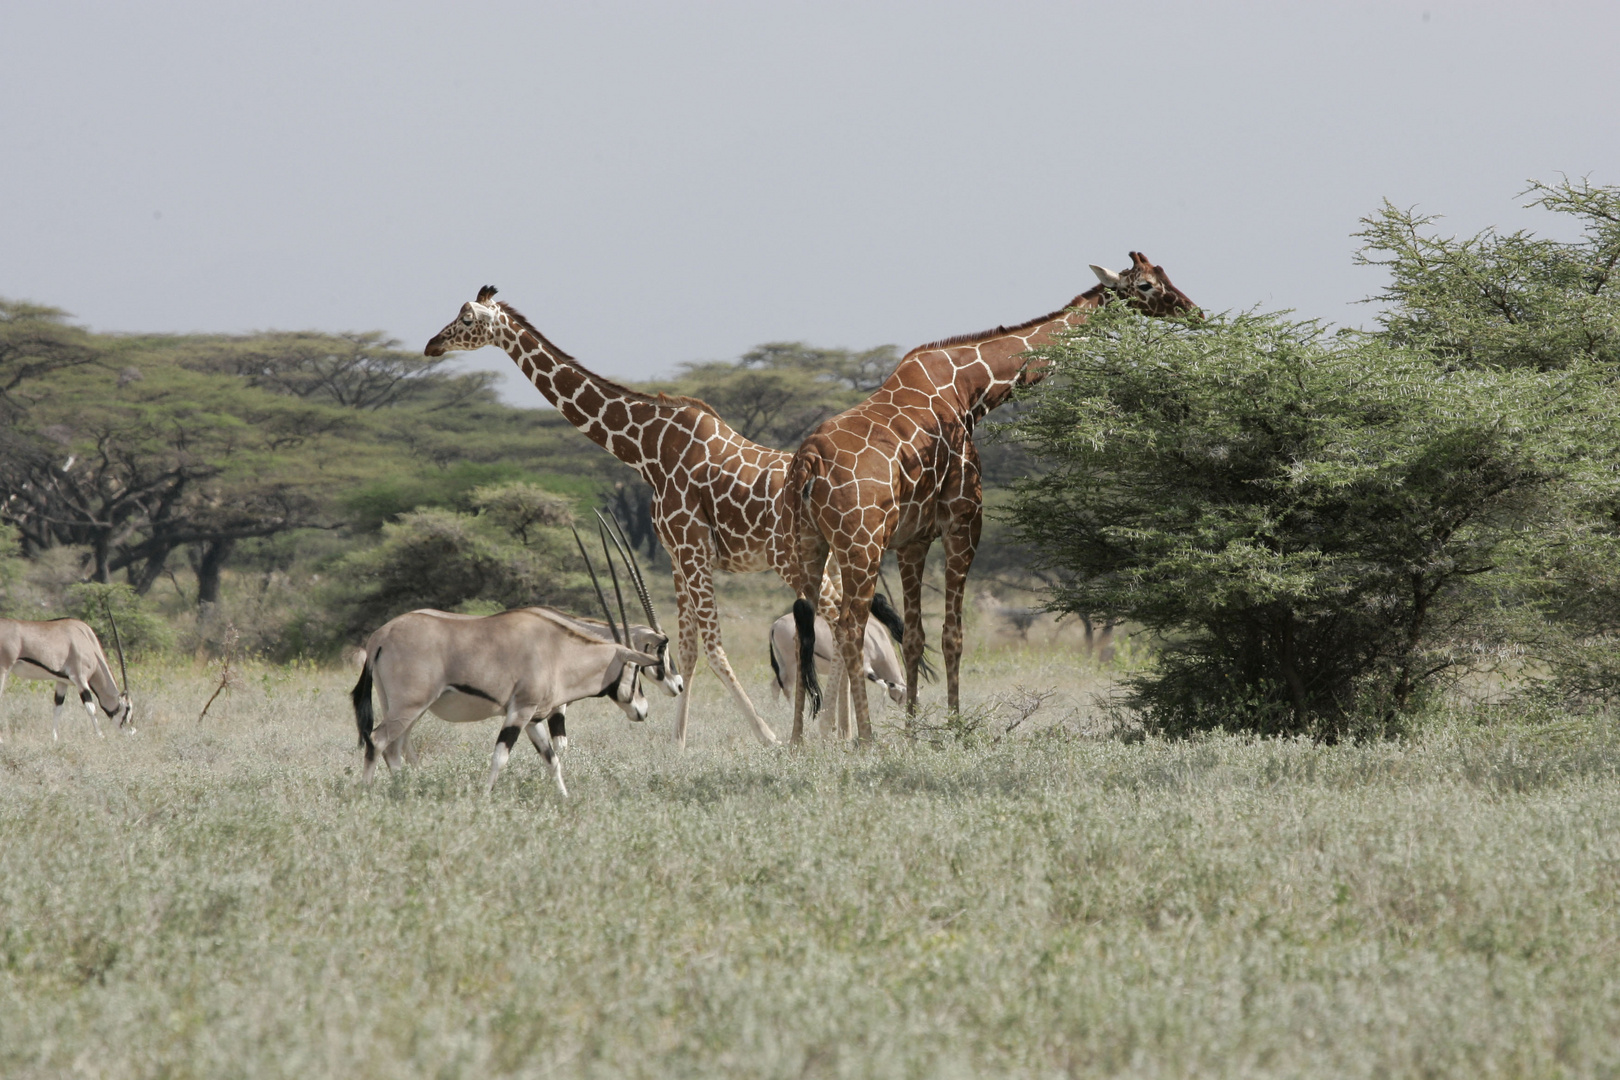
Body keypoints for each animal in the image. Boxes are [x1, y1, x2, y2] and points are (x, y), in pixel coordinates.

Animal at [424, 283, 848, 748]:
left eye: (466, 319)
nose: (432, 345)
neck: (647, 450)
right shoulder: (678, 555)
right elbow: (689, 649)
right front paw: (677, 743)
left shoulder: (692, 547)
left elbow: (714, 648)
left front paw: (767, 736)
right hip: (827, 558)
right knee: (847, 620)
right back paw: (842, 730)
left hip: (790, 559)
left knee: (843, 620)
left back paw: (825, 731)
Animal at [784, 254, 1205, 744]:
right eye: (1147, 285)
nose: (1194, 312)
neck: (971, 391)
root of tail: (808, 460)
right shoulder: (964, 522)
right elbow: (953, 635)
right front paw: (955, 728)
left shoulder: (912, 539)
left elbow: (915, 637)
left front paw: (912, 734)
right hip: (860, 545)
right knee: (849, 629)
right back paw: (866, 741)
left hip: (809, 544)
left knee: (805, 626)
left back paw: (797, 743)